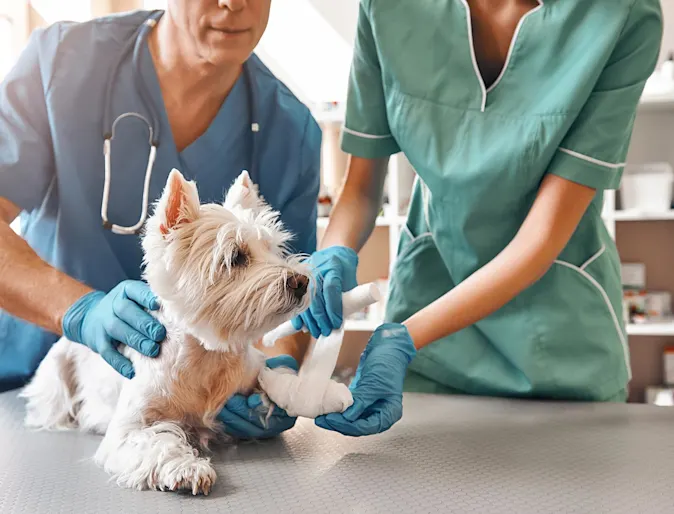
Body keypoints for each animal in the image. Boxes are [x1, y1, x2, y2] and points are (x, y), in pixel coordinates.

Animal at [20, 167, 310, 492]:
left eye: (273, 249)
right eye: (236, 257)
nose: (301, 281)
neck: (207, 357)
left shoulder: (251, 373)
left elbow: (273, 378)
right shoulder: (128, 429)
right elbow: (158, 443)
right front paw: (188, 468)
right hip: (56, 377)